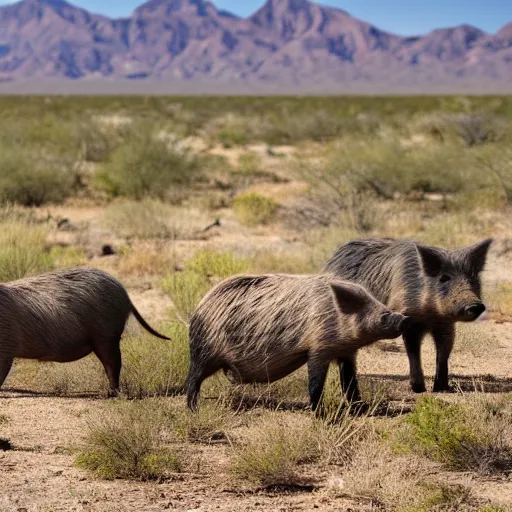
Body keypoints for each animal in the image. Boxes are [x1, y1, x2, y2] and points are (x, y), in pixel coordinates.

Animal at [185, 274, 412, 410]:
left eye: (383, 306)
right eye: (383, 316)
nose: (404, 319)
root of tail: (198, 308)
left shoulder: (346, 353)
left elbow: (350, 382)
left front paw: (360, 407)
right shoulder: (317, 348)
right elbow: (315, 383)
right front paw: (319, 412)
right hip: (204, 352)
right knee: (192, 380)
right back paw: (193, 409)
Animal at [324, 238, 492, 394]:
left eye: (472, 278)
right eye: (444, 278)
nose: (474, 305)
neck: (430, 314)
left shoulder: (445, 324)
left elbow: (444, 351)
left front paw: (441, 388)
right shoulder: (409, 319)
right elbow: (413, 349)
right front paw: (419, 389)